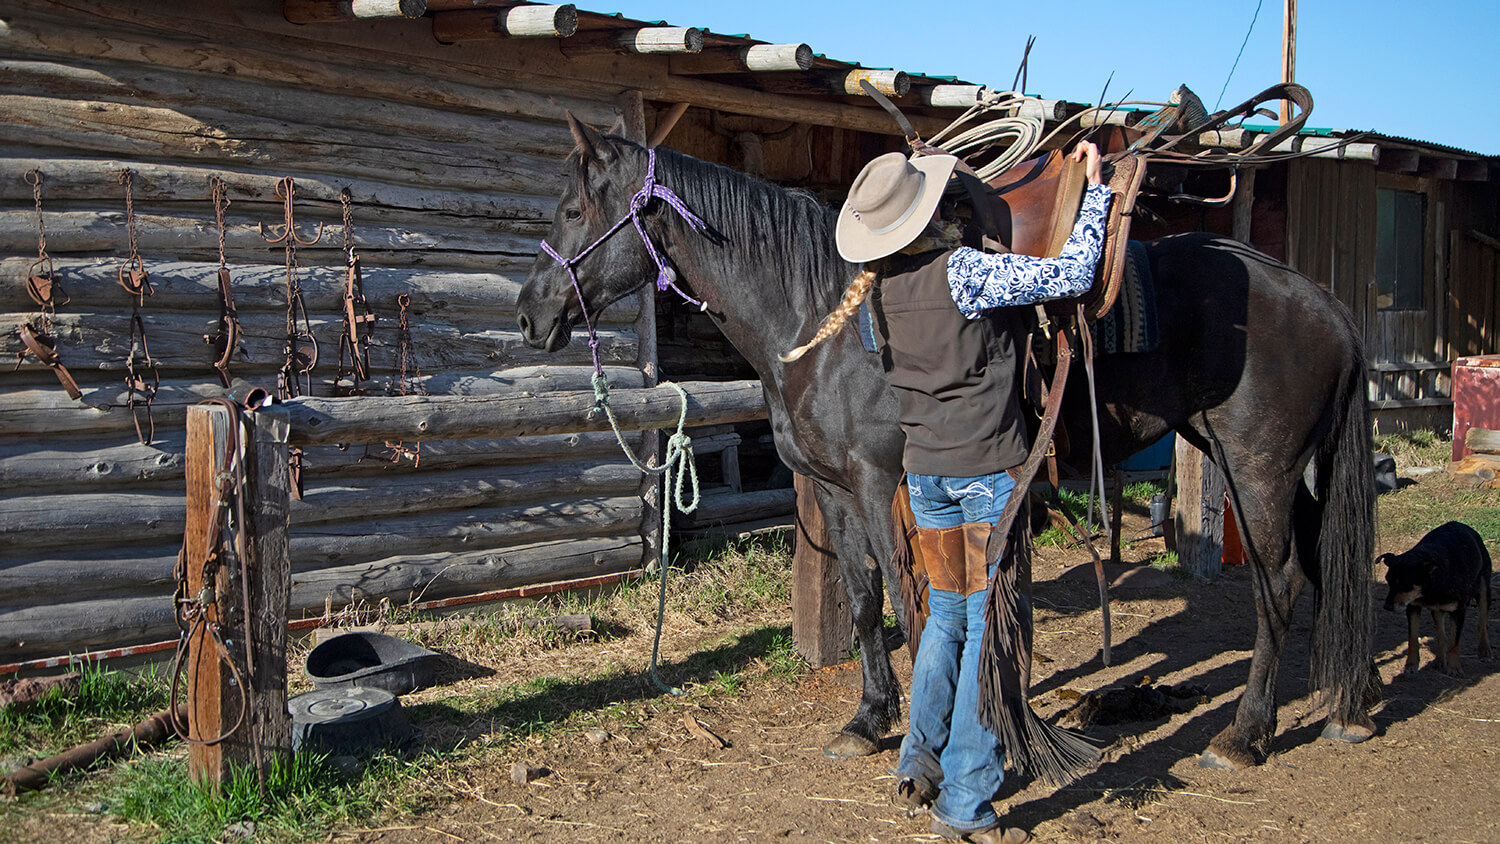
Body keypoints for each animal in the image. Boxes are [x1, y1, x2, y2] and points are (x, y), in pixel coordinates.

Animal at [519, 116, 1380, 773]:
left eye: (571, 208)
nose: (530, 315)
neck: (817, 317)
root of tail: (1325, 302)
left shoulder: (882, 483)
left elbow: (914, 606)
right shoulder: (833, 490)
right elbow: (864, 601)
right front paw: (869, 718)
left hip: (1259, 470)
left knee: (1280, 586)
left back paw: (1246, 735)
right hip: (1285, 471)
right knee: (1328, 570)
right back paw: (1350, 704)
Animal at [1380, 521, 1488, 680]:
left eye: (1405, 585)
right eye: (1388, 580)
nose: (1387, 606)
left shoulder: (1458, 611)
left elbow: (1454, 643)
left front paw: (1454, 668)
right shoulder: (1413, 607)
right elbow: (1413, 639)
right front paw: (1411, 664)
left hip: (1483, 588)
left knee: (1482, 623)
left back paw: (1484, 650)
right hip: (1437, 610)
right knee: (1441, 635)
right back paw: (1439, 660)